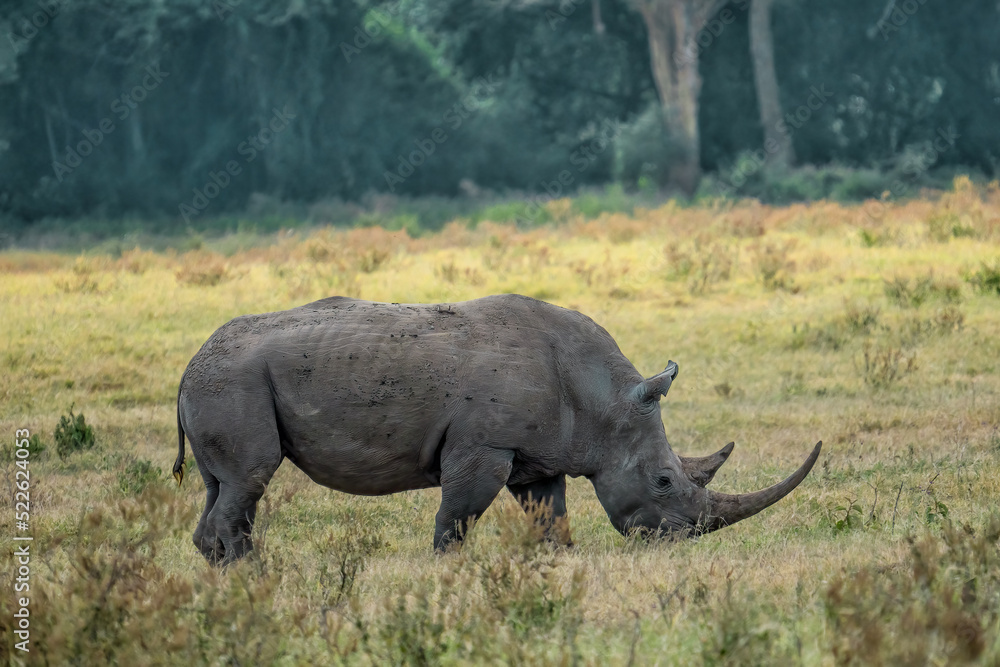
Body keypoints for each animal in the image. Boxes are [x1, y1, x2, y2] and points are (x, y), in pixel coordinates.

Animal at [174, 294, 820, 564]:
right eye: (663, 481)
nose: (677, 541)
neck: (605, 399)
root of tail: (188, 364)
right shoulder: (485, 446)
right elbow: (456, 518)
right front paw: (447, 572)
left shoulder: (541, 455)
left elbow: (550, 519)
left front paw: (556, 565)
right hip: (233, 381)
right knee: (250, 479)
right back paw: (255, 576)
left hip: (221, 382)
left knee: (222, 486)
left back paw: (228, 576)